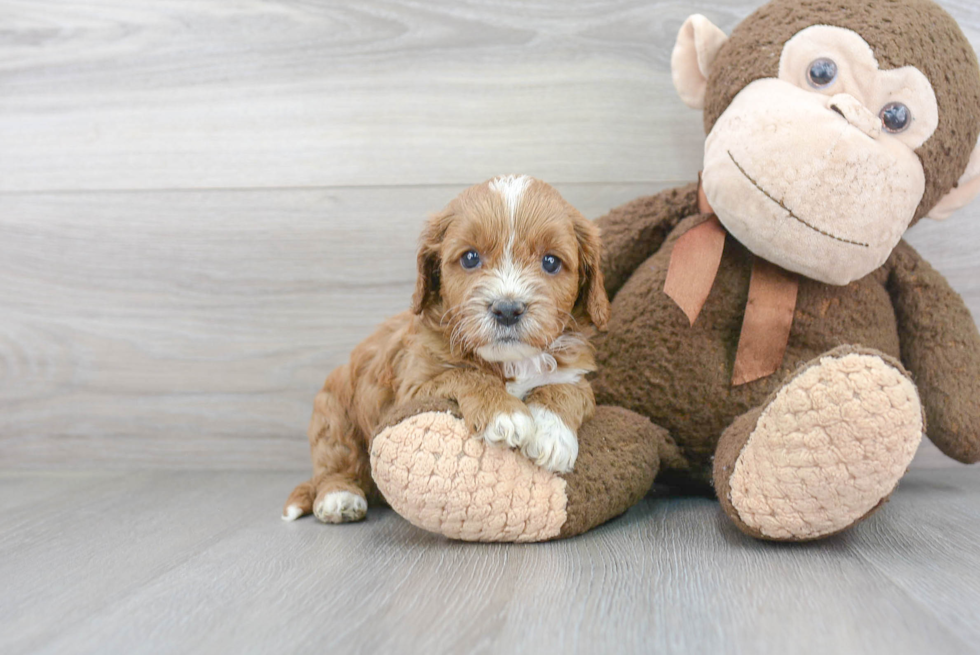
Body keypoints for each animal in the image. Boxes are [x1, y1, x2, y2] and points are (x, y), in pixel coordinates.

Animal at [280, 177, 608, 524]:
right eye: (470, 258)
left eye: (551, 262)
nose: (507, 309)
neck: (508, 363)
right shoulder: (414, 386)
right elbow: (466, 376)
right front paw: (505, 414)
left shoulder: (576, 372)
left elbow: (568, 389)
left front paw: (552, 434)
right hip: (333, 415)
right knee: (335, 462)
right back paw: (338, 497)